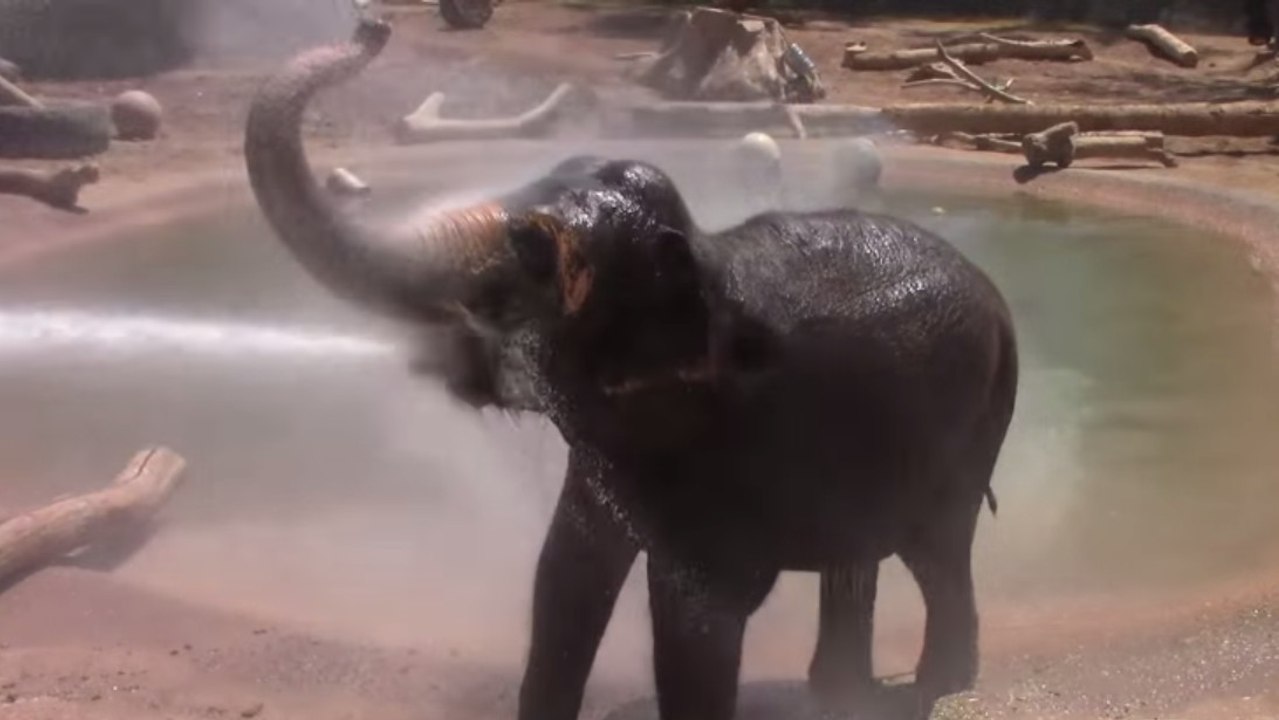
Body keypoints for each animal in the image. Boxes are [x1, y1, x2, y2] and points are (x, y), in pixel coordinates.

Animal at [243, 18, 1019, 720]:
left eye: (533, 249)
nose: (372, 27)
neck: (701, 254)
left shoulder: (739, 446)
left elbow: (694, 612)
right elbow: (565, 576)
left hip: (977, 422)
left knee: (936, 551)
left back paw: (932, 686)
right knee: (860, 558)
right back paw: (840, 695)